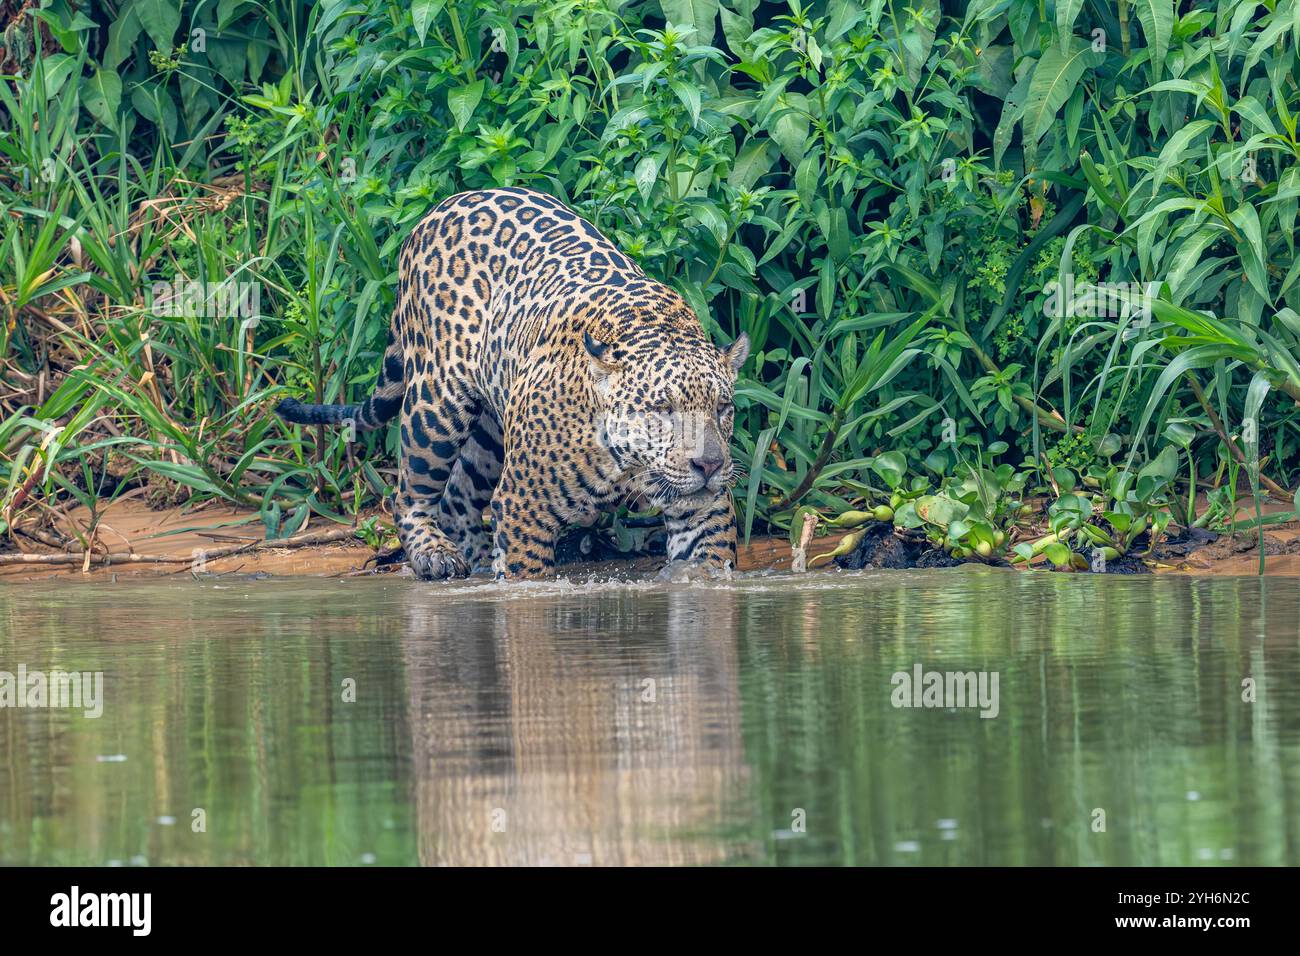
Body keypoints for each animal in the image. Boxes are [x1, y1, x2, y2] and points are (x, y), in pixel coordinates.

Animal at [276, 187, 750, 580]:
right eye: (661, 410)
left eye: (723, 409)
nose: (709, 465)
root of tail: (433, 212)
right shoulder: (525, 505)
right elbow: (527, 581)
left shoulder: (704, 506)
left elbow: (709, 561)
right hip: (435, 409)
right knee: (409, 492)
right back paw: (435, 556)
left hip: (490, 428)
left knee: (458, 497)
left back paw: (481, 564)